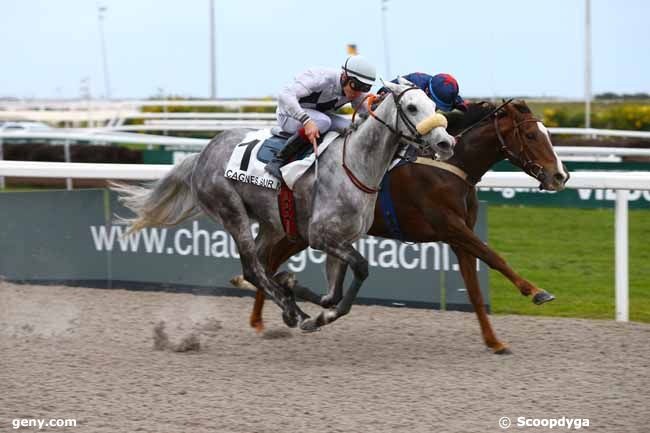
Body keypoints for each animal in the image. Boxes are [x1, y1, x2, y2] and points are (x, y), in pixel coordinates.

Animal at [112, 80, 456, 330]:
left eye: (433, 106)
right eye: (411, 107)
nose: (445, 143)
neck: (354, 165)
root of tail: (201, 154)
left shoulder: (342, 238)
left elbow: (332, 293)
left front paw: (302, 293)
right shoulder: (321, 235)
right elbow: (359, 270)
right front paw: (318, 315)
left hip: (271, 224)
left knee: (259, 269)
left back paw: (289, 300)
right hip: (231, 212)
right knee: (252, 267)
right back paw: (295, 313)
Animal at [237, 99, 568, 352]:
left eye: (546, 133)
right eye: (530, 135)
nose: (560, 176)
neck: (451, 165)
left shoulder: (459, 237)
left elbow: (474, 290)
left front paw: (494, 341)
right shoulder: (452, 227)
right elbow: (494, 257)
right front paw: (537, 291)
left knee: (268, 261)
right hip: (303, 231)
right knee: (268, 260)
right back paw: (264, 315)